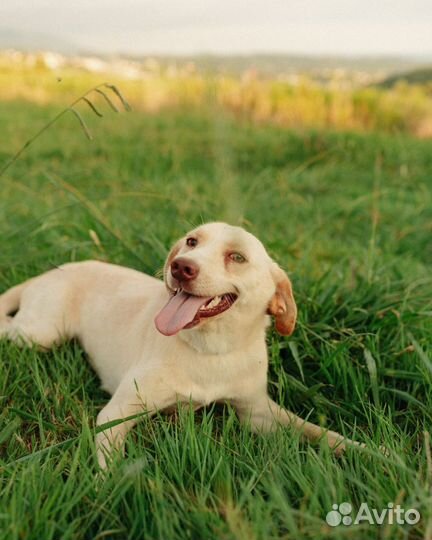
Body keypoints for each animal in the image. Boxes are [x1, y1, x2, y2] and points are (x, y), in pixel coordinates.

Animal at [0, 221, 364, 466]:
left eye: (237, 257)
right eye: (192, 241)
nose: (181, 266)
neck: (211, 350)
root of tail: (55, 270)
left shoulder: (259, 414)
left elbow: (319, 432)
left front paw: (371, 453)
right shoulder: (115, 415)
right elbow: (110, 469)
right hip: (41, 334)